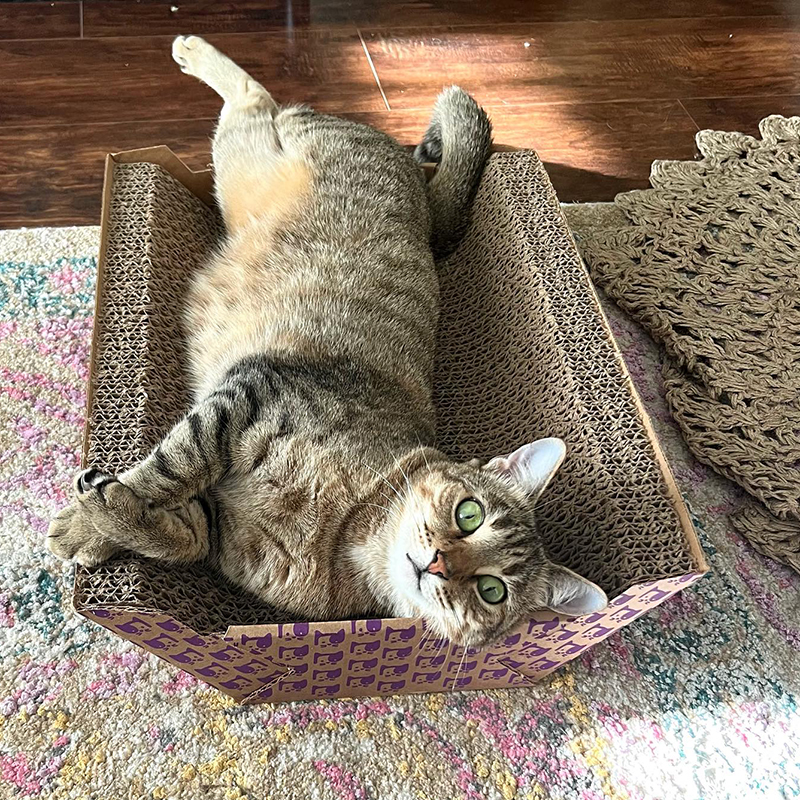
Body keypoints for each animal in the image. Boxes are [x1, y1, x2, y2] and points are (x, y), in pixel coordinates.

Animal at [47, 39, 608, 648]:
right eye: (469, 514)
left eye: (491, 591)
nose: (436, 563)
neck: (340, 534)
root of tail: (420, 196)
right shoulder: (251, 397)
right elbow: (169, 467)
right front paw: (85, 523)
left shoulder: (216, 525)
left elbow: (175, 530)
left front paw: (97, 519)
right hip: (246, 156)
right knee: (256, 96)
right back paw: (194, 50)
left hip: (243, 160)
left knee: (258, 102)